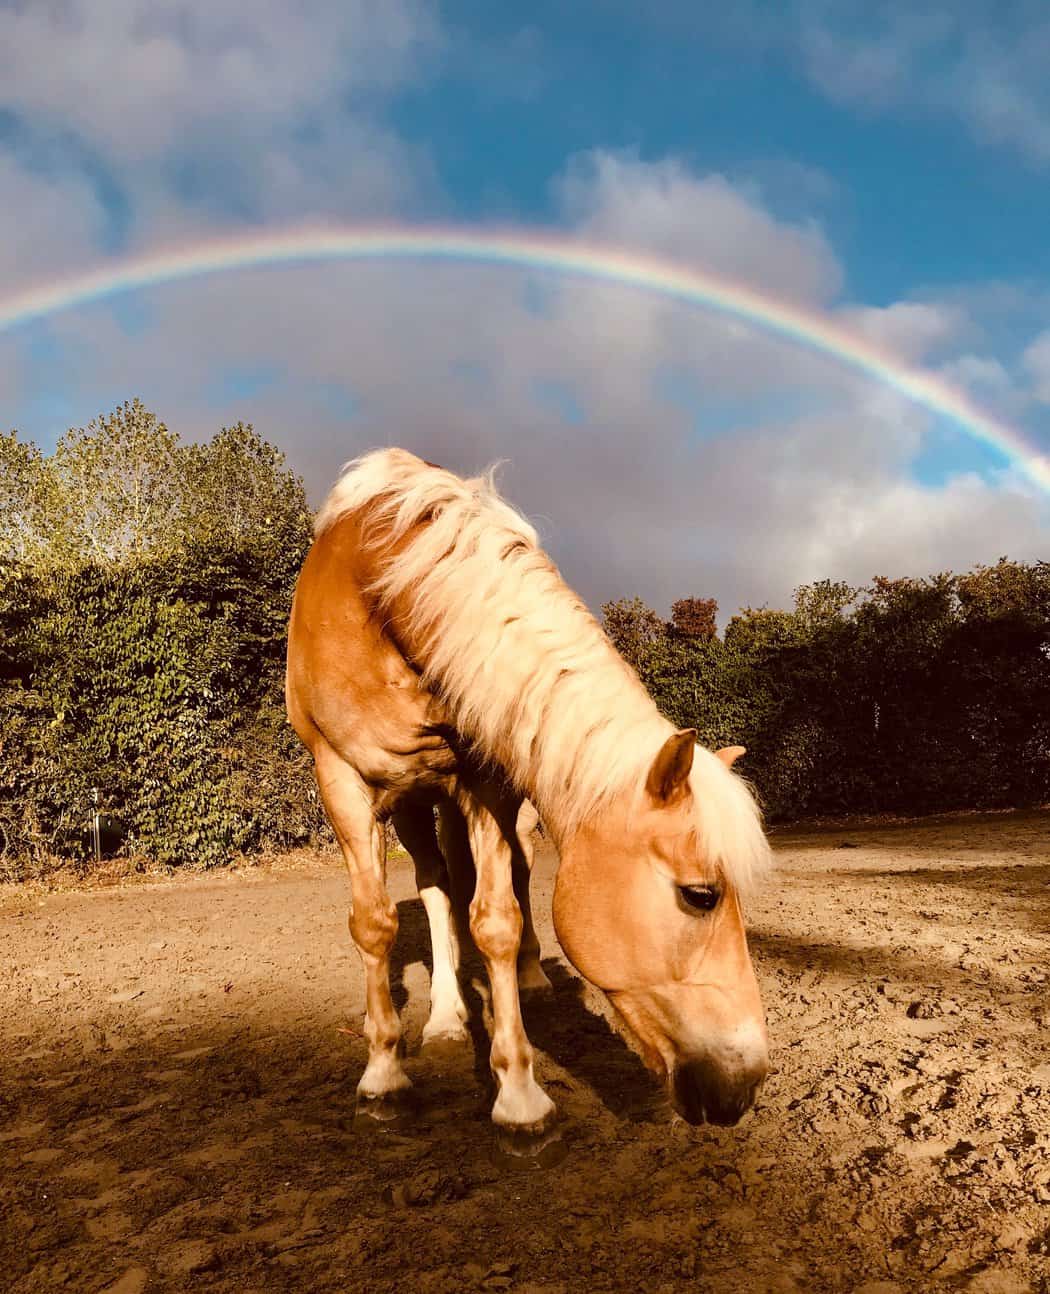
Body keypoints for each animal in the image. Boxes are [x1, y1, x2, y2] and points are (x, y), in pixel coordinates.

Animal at [286, 448, 772, 1134]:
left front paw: (517, 1092)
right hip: (412, 804)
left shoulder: (488, 778)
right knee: (435, 887)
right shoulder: (340, 780)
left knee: (512, 872)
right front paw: (383, 1072)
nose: (745, 1086)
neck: (377, 585)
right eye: (701, 896)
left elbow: (497, 921)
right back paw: (445, 1018)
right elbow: (374, 924)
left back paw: (528, 977)